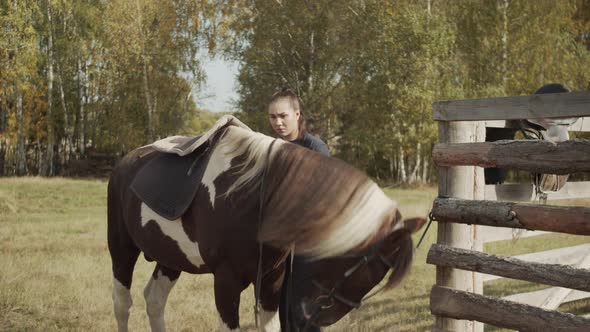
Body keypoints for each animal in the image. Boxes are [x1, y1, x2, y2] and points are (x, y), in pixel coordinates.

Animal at [107, 124, 426, 332]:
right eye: (371, 267)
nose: (314, 317)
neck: (258, 198)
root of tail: (126, 161)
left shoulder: (272, 281)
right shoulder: (226, 281)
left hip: (171, 258)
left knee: (155, 300)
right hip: (121, 250)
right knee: (122, 303)